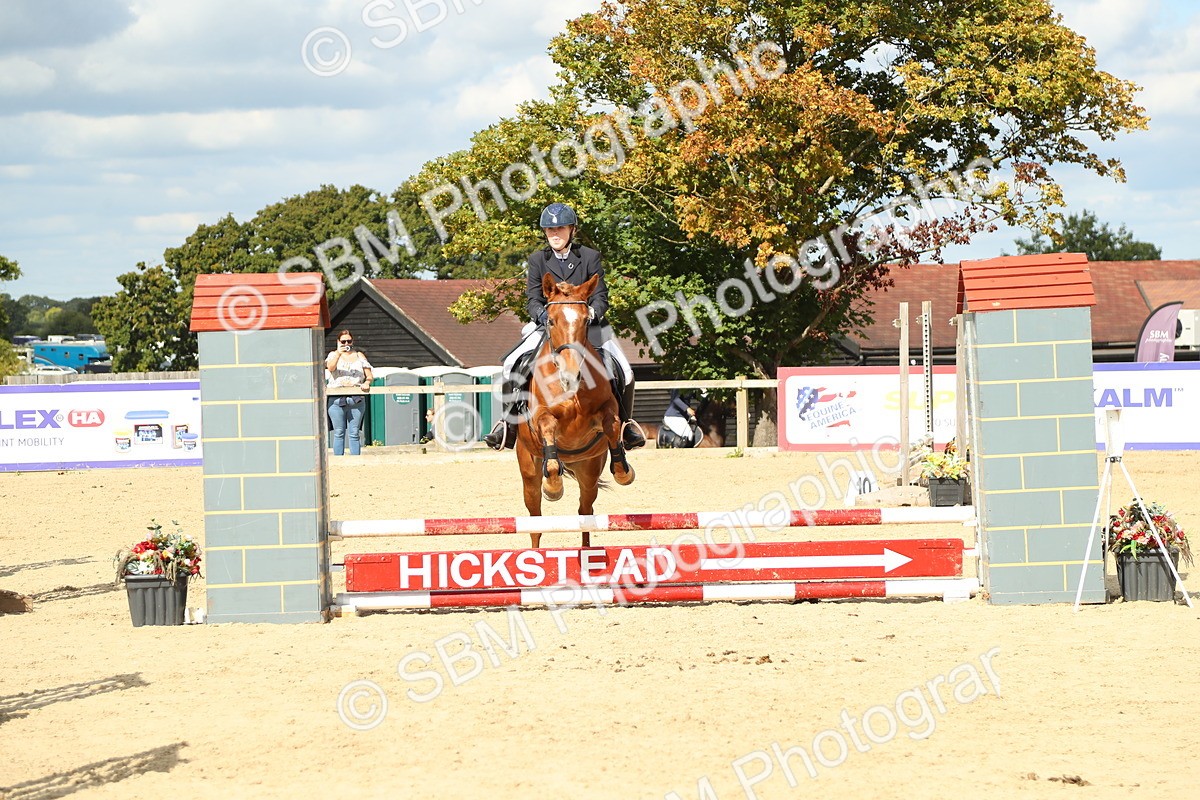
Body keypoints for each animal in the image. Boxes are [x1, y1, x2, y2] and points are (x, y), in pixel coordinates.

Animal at [515, 273, 635, 548]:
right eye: (550, 320)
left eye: (586, 320)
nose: (571, 377)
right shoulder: (541, 416)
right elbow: (548, 426)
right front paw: (553, 485)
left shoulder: (607, 409)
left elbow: (612, 424)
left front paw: (623, 471)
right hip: (528, 468)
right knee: (535, 521)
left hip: (588, 469)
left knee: (585, 512)